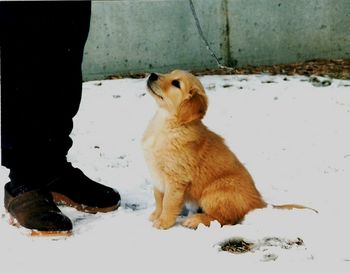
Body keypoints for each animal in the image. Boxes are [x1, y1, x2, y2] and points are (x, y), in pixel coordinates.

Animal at [142, 69, 312, 227]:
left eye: (176, 83)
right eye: (170, 73)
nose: (152, 75)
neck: (166, 124)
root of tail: (259, 202)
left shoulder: (176, 179)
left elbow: (168, 202)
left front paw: (163, 222)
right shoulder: (157, 177)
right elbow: (158, 198)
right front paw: (156, 215)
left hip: (213, 193)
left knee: (224, 219)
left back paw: (196, 220)